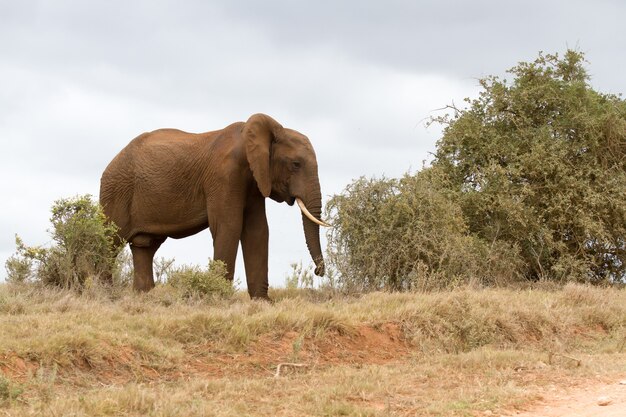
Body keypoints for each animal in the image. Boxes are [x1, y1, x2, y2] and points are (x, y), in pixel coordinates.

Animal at [98, 112, 326, 298]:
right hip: (116, 189)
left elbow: (257, 230)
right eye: (296, 164)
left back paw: (143, 296)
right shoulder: (224, 176)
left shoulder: (255, 181)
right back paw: (105, 295)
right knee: (110, 242)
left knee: (144, 247)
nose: (318, 272)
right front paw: (219, 298)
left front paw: (262, 302)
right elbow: (229, 226)